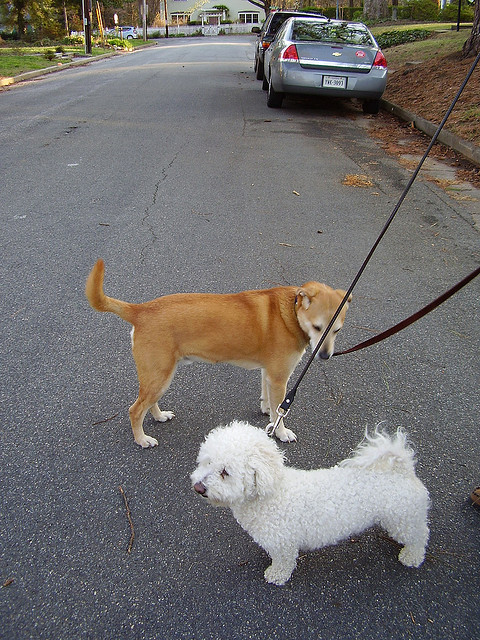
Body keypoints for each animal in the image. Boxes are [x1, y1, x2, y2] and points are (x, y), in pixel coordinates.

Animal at [84, 258, 350, 448]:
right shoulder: (279, 378)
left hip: (159, 376)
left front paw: (267, 412)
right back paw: (142, 439)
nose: (325, 356)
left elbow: (268, 400)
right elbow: (280, 411)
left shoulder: (269, 374)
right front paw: (281, 432)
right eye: (318, 327)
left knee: (149, 403)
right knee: (135, 410)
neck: (291, 313)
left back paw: (159, 416)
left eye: (337, 329)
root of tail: (141, 309)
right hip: (159, 375)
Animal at [189, 420, 430, 584]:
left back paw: (411, 556)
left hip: (403, 519)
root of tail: (403, 470)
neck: (270, 493)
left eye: (225, 472)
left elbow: (284, 562)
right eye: (207, 462)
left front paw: (276, 575)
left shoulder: (284, 543)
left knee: (420, 536)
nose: (198, 487)